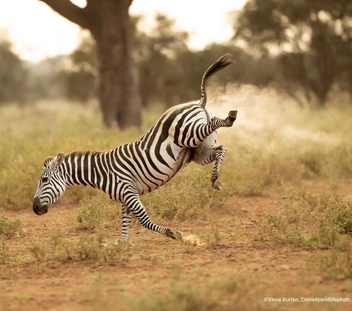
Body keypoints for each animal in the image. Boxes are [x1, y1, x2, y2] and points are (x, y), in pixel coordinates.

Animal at [33, 54, 236, 241]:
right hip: (199, 151)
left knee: (216, 126)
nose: (34, 208)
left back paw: (230, 117)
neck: (101, 173)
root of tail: (196, 103)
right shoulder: (126, 198)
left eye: (44, 180)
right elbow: (125, 224)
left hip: (189, 133)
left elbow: (145, 221)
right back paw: (215, 179)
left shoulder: (129, 192)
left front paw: (174, 234)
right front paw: (121, 246)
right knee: (221, 149)